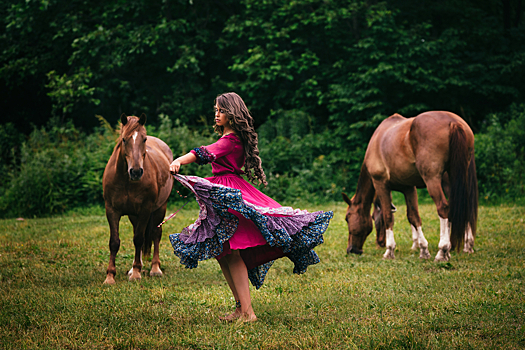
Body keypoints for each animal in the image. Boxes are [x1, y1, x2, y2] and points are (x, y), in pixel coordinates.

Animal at [102, 115, 174, 284]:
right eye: (124, 139)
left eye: (144, 139)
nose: (135, 172)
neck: (126, 181)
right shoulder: (112, 211)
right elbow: (114, 242)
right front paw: (110, 276)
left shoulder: (145, 210)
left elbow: (139, 239)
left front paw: (136, 273)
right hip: (133, 215)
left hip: (160, 208)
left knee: (155, 233)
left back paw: (155, 269)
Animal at [342, 110, 476, 262]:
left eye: (347, 218)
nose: (351, 250)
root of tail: (453, 122)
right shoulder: (408, 187)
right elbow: (413, 217)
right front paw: (423, 249)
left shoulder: (381, 184)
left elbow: (388, 216)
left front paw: (389, 250)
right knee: (465, 207)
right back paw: (465, 246)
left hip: (433, 180)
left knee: (443, 208)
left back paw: (443, 251)